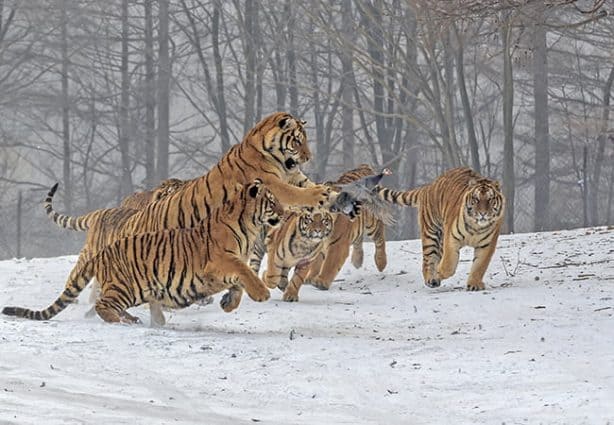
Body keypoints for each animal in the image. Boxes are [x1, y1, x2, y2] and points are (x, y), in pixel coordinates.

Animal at [3, 177, 284, 322]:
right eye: (272, 202)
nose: (283, 213)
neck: (248, 225)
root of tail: (103, 253)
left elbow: (239, 283)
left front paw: (229, 303)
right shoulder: (220, 260)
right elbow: (244, 271)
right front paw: (261, 293)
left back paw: (131, 318)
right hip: (127, 287)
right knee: (102, 305)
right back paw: (122, 320)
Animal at [376, 167, 506, 290]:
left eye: (490, 199)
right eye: (476, 199)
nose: (482, 213)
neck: (476, 227)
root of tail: (430, 186)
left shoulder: (486, 246)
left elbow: (479, 266)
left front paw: (474, 284)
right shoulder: (452, 238)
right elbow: (449, 263)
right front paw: (439, 272)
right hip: (430, 232)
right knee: (428, 260)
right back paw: (431, 279)